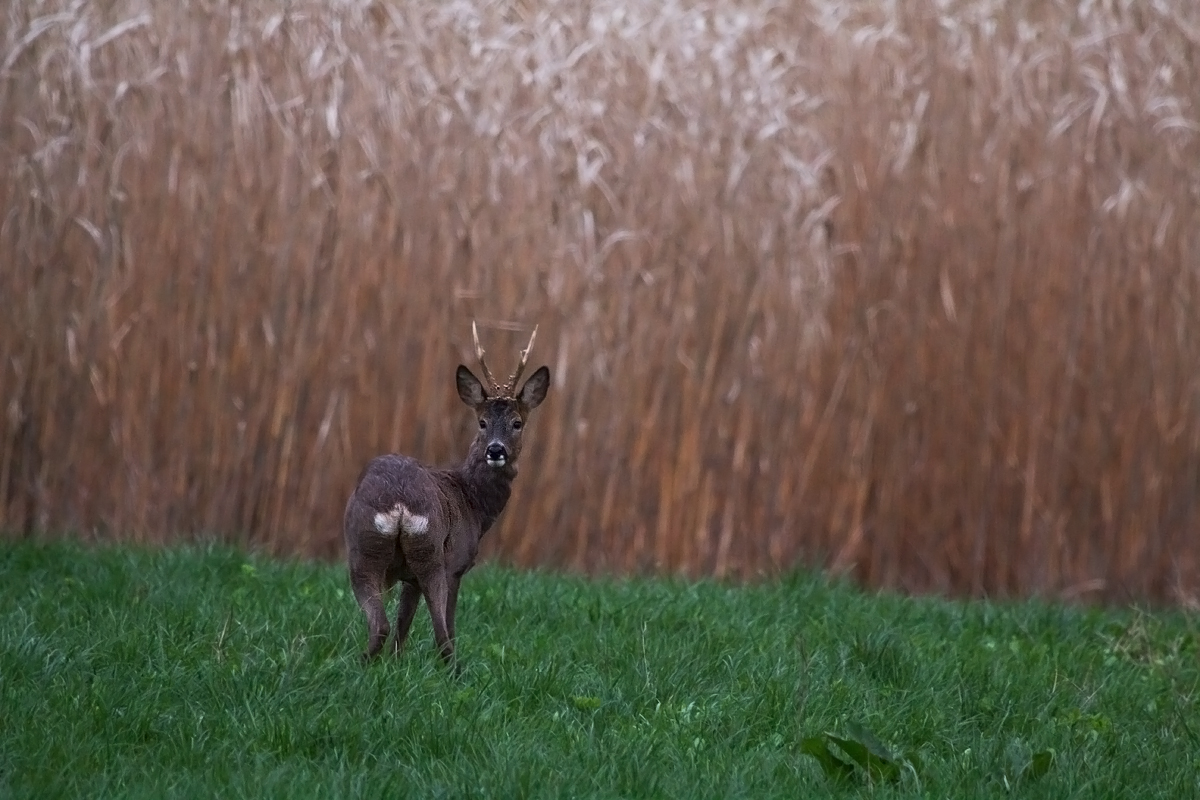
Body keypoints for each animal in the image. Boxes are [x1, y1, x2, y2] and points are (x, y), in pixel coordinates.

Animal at [343, 321, 552, 666]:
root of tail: (399, 503)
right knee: (442, 635)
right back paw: (454, 671)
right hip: (432, 554)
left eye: (517, 422)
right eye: (482, 422)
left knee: (381, 625)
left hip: (363, 548)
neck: (472, 502)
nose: (496, 450)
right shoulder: (457, 565)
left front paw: (395, 665)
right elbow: (447, 626)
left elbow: (403, 626)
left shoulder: (409, 578)